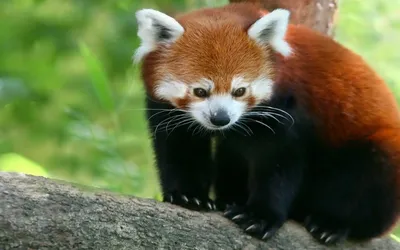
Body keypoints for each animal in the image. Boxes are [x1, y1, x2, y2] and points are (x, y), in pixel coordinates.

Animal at [134, 0, 400, 246]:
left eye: (240, 91)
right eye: (200, 91)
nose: (221, 118)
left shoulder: (286, 109)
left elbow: (277, 163)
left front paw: (260, 216)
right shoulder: (167, 110)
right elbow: (180, 147)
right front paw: (187, 196)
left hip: (376, 150)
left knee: (364, 179)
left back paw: (332, 223)